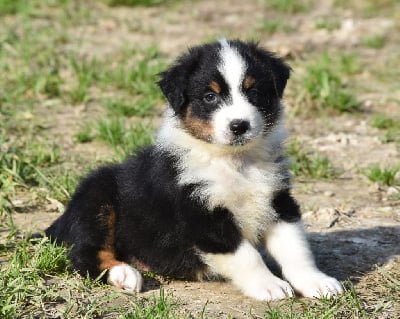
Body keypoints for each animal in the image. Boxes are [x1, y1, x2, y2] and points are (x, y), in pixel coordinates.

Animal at [45, 38, 342, 302]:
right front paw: (269, 286)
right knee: (84, 253)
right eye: (210, 97)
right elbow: (247, 255)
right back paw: (124, 274)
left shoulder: (278, 200)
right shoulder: (201, 215)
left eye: (254, 92)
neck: (234, 162)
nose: (239, 125)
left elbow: (295, 248)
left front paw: (316, 281)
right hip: (97, 198)